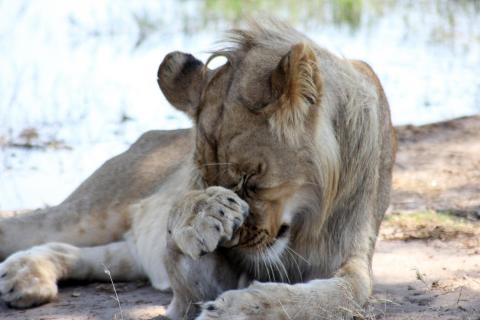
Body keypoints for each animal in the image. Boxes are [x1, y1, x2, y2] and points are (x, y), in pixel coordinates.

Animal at [0, 20, 396, 320]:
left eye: (250, 179)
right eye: (205, 179)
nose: (233, 242)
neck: (303, 222)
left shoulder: (353, 262)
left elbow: (330, 297)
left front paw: (241, 309)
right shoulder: (195, 291)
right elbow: (189, 245)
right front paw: (204, 215)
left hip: (128, 253)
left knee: (83, 253)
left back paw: (26, 276)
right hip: (90, 210)